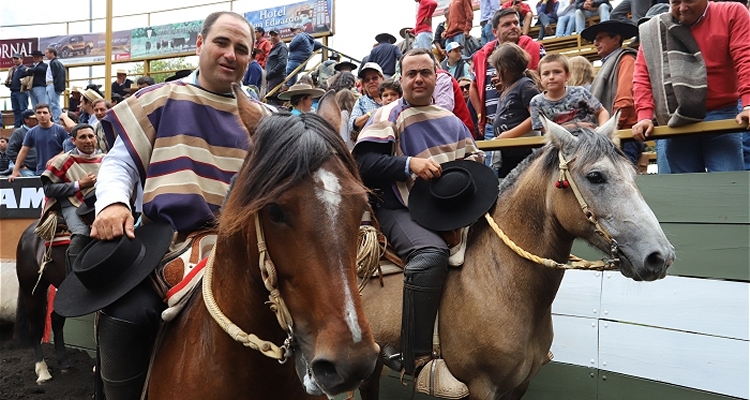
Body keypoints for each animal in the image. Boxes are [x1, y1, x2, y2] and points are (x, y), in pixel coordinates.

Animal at [356, 114, 676, 398]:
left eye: (632, 175)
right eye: (595, 176)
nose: (659, 256)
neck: (499, 280)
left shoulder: (519, 386)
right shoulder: (481, 387)